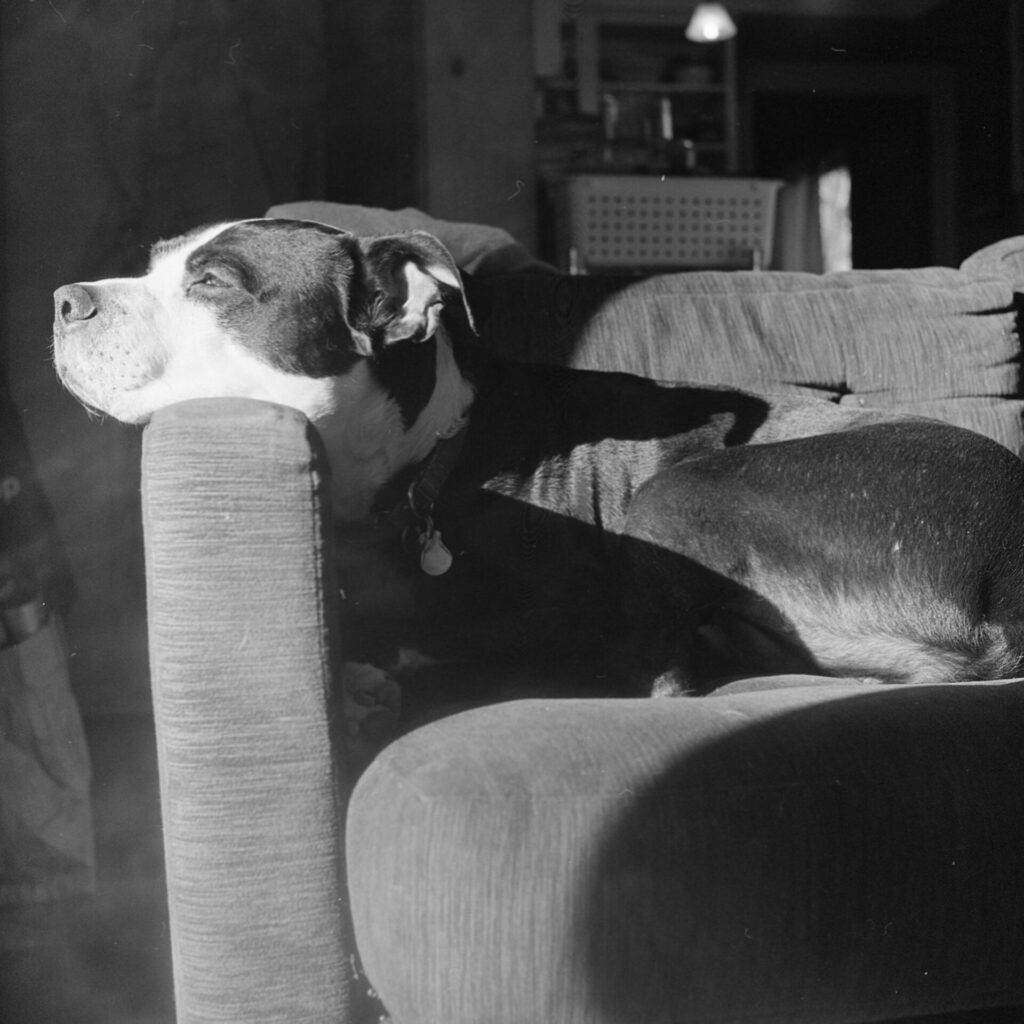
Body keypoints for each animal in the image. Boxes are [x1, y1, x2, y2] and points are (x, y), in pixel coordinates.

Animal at [51, 218, 1024, 729]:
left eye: (213, 283)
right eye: (151, 266)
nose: (63, 300)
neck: (425, 459)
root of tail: (1002, 584)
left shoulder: (566, 612)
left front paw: (390, 672)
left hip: (684, 491)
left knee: (656, 675)